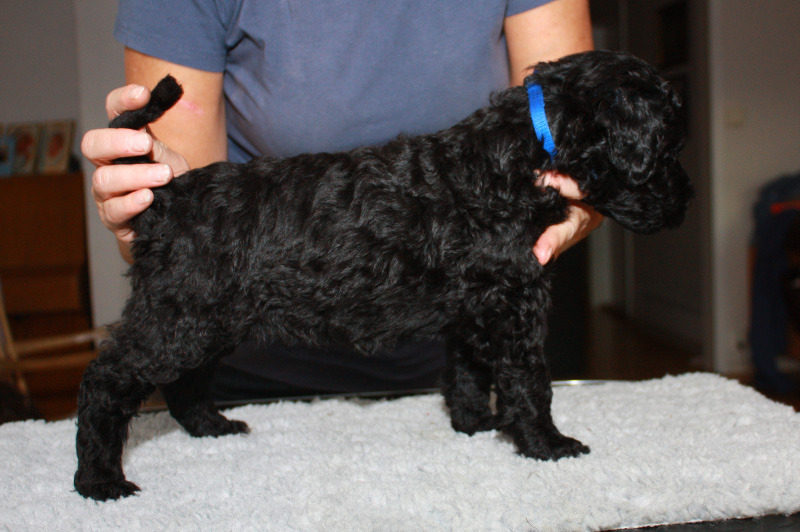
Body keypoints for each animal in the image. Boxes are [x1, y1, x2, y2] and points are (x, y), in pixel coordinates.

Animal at [74, 50, 693, 500]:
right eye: (667, 148)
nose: (686, 203)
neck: (519, 154)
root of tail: (166, 195)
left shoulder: (476, 307)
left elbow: (467, 371)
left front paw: (473, 424)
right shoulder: (514, 307)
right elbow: (529, 383)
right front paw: (546, 443)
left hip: (206, 322)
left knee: (184, 383)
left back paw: (211, 426)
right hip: (178, 318)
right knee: (106, 380)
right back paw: (100, 480)